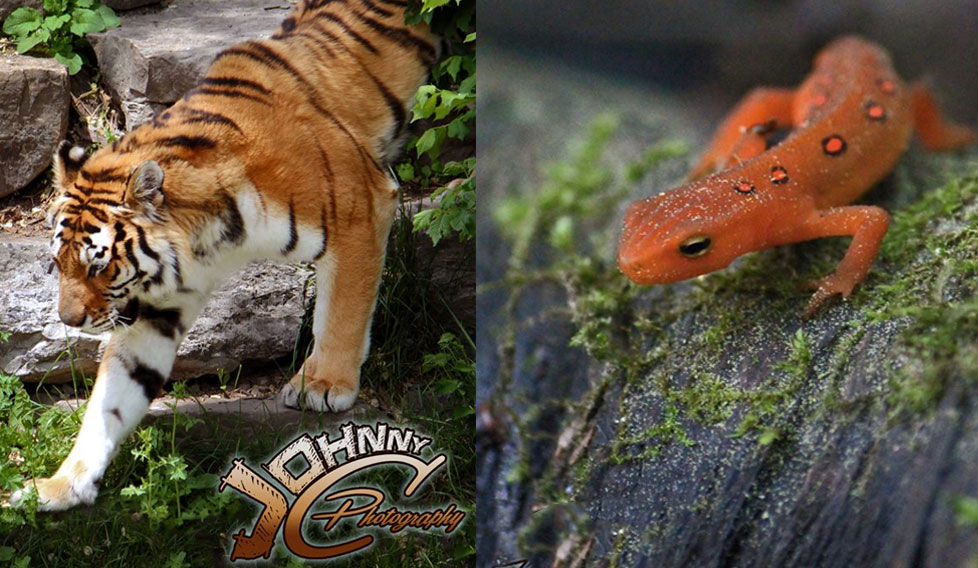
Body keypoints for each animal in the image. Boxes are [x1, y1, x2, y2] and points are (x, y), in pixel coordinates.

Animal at [11, 0, 438, 511]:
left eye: (99, 265)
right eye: (57, 264)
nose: (69, 321)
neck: (208, 241)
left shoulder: (361, 210)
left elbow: (341, 313)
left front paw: (323, 385)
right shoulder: (157, 305)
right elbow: (112, 399)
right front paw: (62, 486)